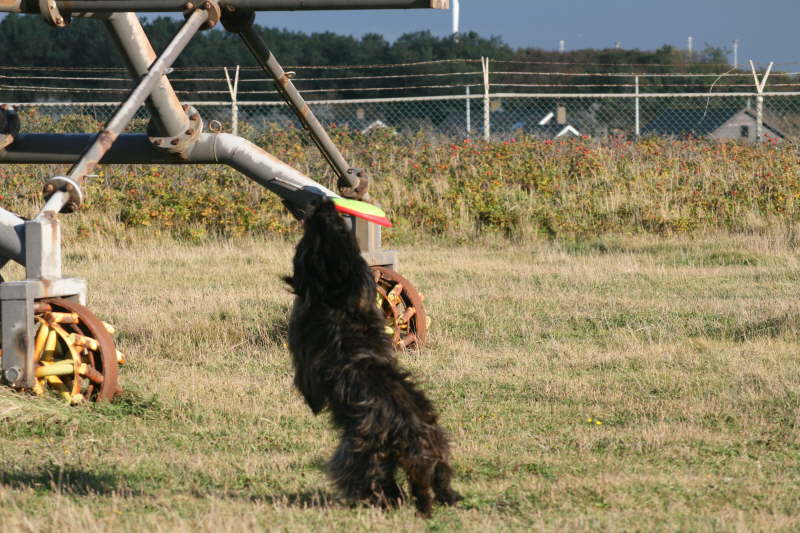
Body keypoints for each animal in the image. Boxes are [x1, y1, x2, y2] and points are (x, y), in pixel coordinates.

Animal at [286, 200, 462, 516]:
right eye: (341, 230)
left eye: (319, 229)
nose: (327, 202)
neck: (343, 308)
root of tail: (413, 432)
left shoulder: (305, 358)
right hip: (435, 456)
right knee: (437, 483)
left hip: (359, 453)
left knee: (375, 481)